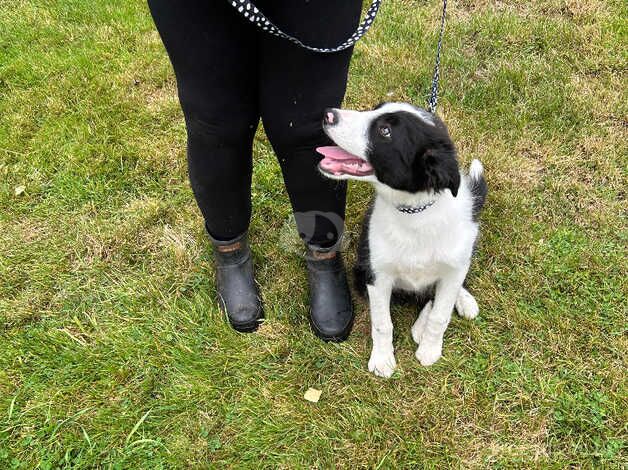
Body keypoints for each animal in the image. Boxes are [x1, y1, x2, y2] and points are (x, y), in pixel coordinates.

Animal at [316, 103, 488, 378]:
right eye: (375, 108)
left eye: (385, 131)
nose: (328, 114)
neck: (414, 213)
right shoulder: (377, 275)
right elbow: (382, 323)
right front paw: (382, 360)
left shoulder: (453, 267)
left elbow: (440, 315)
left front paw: (430, 350)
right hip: (360, 268)